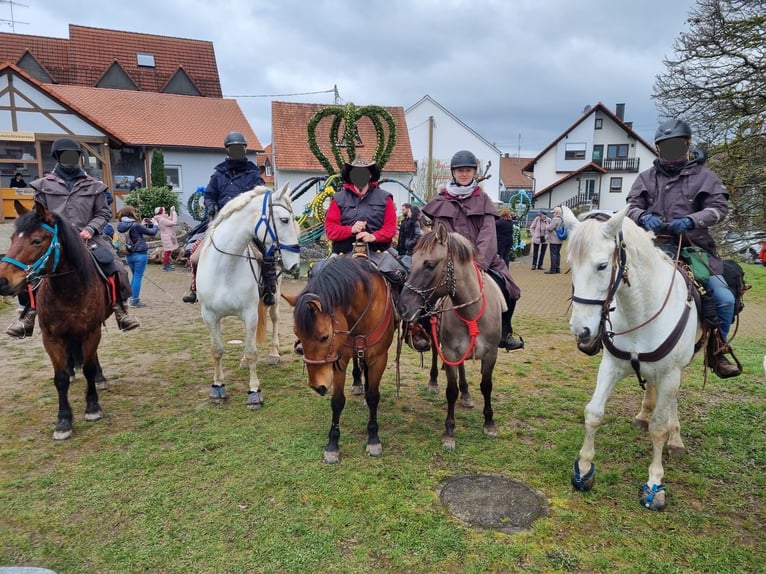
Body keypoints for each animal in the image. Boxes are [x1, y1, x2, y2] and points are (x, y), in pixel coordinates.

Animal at [0, 202, 115, 440]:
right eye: (13, 238)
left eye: (36, 240)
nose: (2, 281)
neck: (69, 291)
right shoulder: (51, 337)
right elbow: (59, 378)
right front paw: (63, 421)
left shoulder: (91, 331)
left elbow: (89, 368)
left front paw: (93, 407)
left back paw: (100, 378)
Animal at [195, 184, 304, 410]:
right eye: (284, 220)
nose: (295, 263)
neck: (225, 267)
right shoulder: (209, 316)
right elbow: (217, 350)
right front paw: (217, 387)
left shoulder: (250, 313)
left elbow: (253, 351)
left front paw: (254, 392)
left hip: (273, 298)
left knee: (274, 319)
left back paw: (273, 354)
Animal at [286, 256, 396, 464]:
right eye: (297, 334)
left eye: (325, 337)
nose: (317, 386)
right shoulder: (339, 360)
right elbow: (337, 401)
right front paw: (332, 444)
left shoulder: (379, 359)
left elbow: (373, 397)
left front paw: (373, 439)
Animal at [400, 223, 508, 452]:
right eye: (412, 261)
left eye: (429, 265)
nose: (402, 306)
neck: (472, 314)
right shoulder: (449, 353)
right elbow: (451, 390)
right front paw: (449, 432)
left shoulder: (491, 354)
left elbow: (486, 386)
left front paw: (489, 423)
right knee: (435, 353)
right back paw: (434, 381)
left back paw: (466, 393)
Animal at [564, 207, 704, 512]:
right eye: (570, 265)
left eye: (602, 266)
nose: (582, 332)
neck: (641, 311)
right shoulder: (611, 366)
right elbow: (594, 413)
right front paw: (584, 469)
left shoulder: (670, 373)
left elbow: (659, 428)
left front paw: (654, 483)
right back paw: (644, 413)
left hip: (677, 370)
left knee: (671, 403)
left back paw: (676, 439)